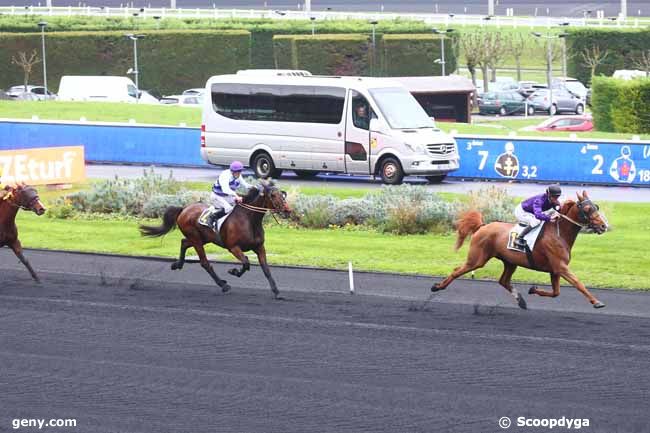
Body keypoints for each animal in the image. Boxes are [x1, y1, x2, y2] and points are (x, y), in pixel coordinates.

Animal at [140, 181, 290, 296]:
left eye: (283, 194)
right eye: (273, 195)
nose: (288, 211)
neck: (248, 220)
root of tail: (184, 209)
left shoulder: (259, 247)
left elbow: (266, 269)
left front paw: (276, 292)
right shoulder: (233, 247)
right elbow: (246, 263)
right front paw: (233, 271)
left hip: (203, 238)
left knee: (184, 242)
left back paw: (177, 264)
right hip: (196, 238)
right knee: (204, 262)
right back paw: (223, 285)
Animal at [430, 191, 608, 308]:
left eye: (596, 207)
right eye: (587, 209)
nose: (603, 226)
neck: (559, 233)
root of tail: (482, 226)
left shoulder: (555, 269)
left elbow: (556, 292)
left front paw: (533, 289)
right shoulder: (561, 267)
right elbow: (578, 283)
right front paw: (596, 302)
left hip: (510, 261)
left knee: (503, 281)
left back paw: (520, 300)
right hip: (477, 259)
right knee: (457, 270)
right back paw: (437, 287)